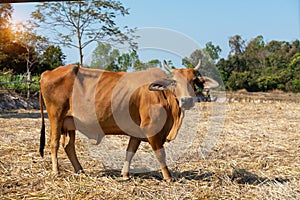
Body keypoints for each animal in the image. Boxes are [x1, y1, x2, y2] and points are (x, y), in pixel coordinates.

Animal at [39, 60, 218, 180]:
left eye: (193, 81)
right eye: (174, 81)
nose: (187, 100)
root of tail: (47, 72)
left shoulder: (137, 132)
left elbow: (130, 151)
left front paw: (124, 174)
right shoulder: (151, 129)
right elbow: (161, 154)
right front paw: (168, 177)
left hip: (70, 123)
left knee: (69, 146)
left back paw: (80, 171)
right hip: (56, 116)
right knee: (54, 143)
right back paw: (56, 171)